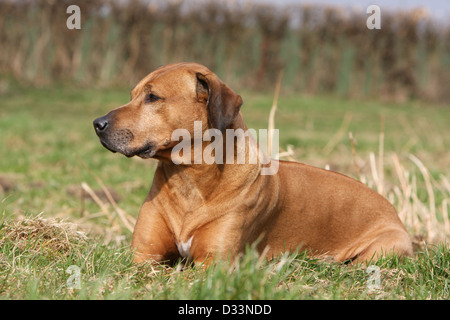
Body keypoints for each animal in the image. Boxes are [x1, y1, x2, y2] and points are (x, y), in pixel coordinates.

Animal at [93, 61, 414, 264]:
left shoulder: (214, 265)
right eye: (133, 94)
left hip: (384, 248)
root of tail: (392, 209)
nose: (97, 124)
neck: (189, 179)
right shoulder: (142, 255)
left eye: (152, 97)